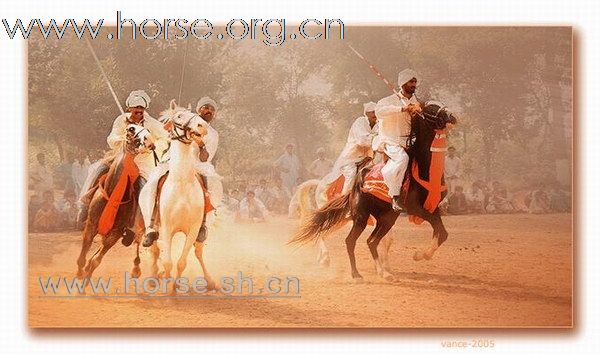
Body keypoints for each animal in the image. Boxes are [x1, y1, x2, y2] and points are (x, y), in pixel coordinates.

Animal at [76, 125, 156, 282]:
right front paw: (81, 273)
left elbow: (96, 261)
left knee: (139, 241)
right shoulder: (91, 225)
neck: (112, 194)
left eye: (147, 132)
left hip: (139, 227)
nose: (150, 142)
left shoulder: (116, 233)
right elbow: (83, 258)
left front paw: (86, 278)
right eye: (131, 129)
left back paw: (137, 269)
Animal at [290, 101, 454, 282]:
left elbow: (442, 233)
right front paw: (417, 256)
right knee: (338, 236)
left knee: (337, 234)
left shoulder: (431, 208)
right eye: (430, 108)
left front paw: (408, 259)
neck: (421, 169)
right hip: (357, 217)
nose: (451, 117)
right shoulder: (414, 208)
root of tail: (320, 184)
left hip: (368, 218)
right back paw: (337, 264)